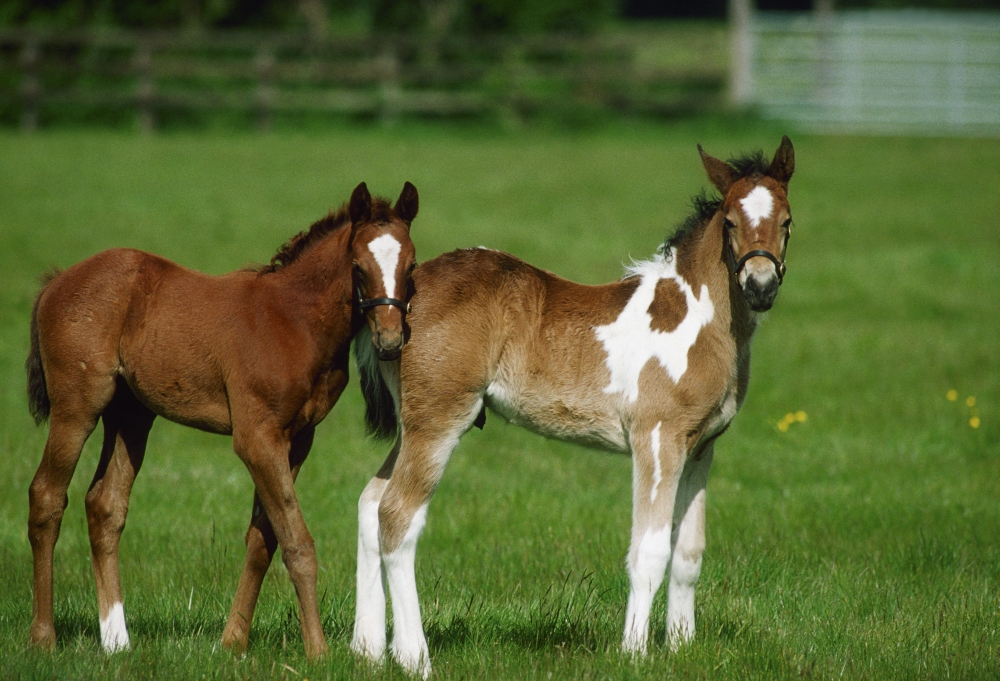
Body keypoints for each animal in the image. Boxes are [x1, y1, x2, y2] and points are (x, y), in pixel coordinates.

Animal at [24, 181, 419, 658]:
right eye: (358, 268)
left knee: (105, 505)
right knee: (46, 497)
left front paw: (233, 641)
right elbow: (296, 542)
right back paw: (44, 637)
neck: (294, 319)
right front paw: (318, 651)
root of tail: (57, 281)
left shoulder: (297, 439)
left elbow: (263, 538)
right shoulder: (256, 437)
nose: (390, 341)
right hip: (77, 408)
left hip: (131, 415)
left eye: (412, 265)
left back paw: (117, 640)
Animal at [349, 139, 795, 675]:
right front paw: (634, 652)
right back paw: (415, 658)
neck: (696, 319)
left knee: (370, 504)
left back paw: (367, 651)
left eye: (787, 220)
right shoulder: (657, 438)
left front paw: (682, 648)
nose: (760, 285)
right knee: (397, 515)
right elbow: (648, 552)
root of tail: (396, 304)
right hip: (437, 421)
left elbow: (688, 553)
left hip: (410, 425)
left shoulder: (700, 447)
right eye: (729, 221)